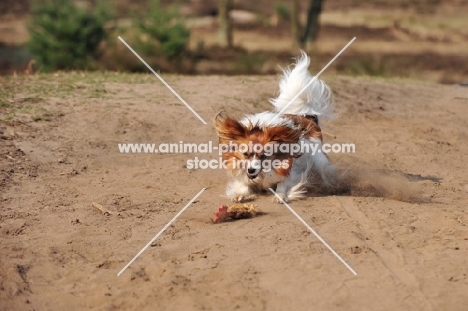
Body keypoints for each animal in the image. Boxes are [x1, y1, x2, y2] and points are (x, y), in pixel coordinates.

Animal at [214, 52, 334, 204]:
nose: (251, 170)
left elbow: (284, 183)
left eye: (264, 156)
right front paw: (240, 194)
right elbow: (244, 185)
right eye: (245, 154)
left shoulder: (291, 170)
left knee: (323, 170)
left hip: (318, 158)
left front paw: (280, 195)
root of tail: (307, 116)